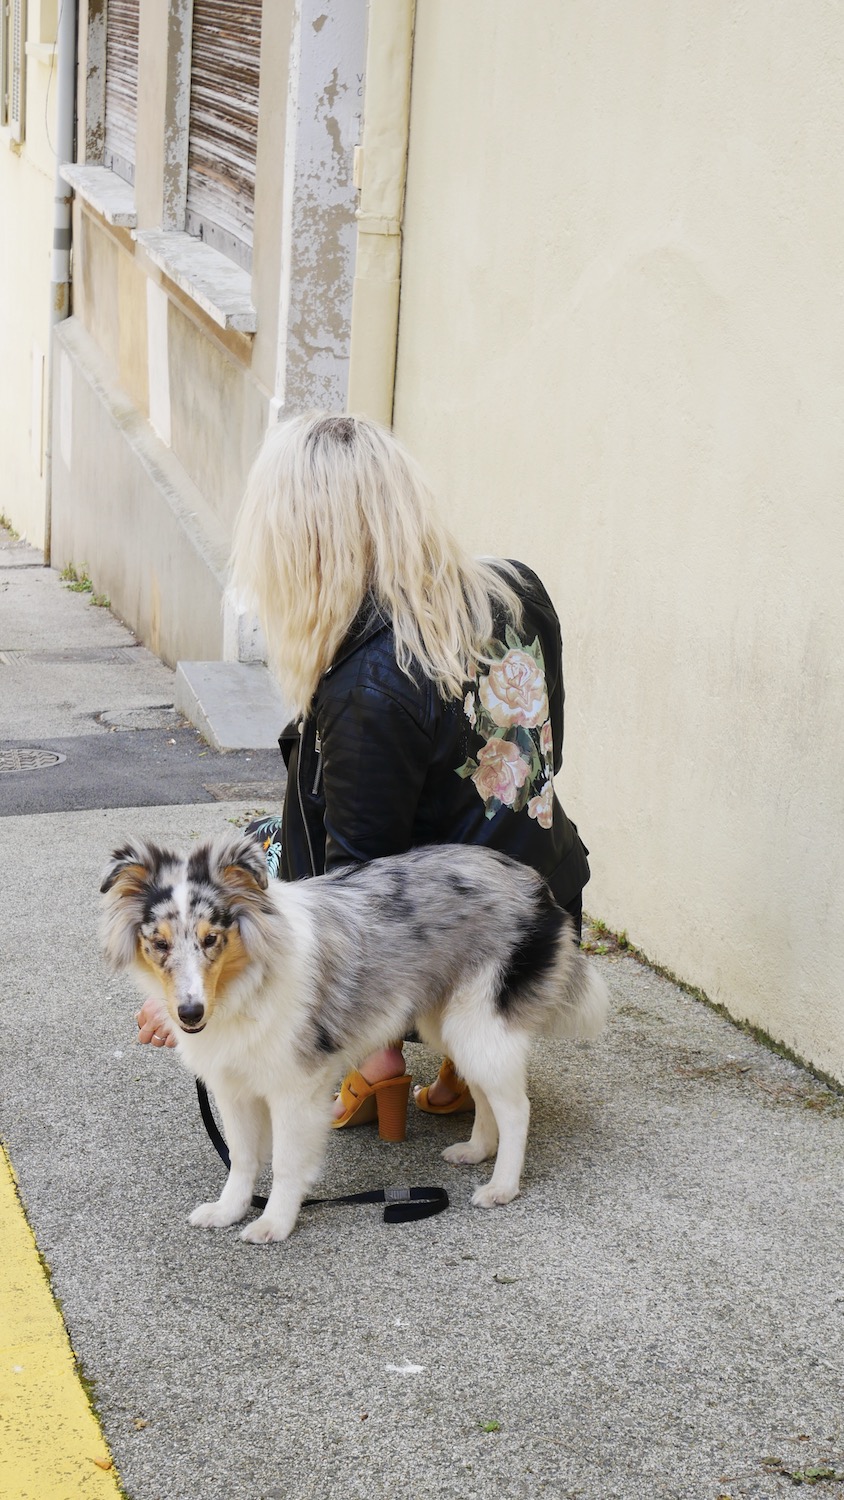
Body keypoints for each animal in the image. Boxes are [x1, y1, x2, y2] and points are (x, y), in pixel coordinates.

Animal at [100, 833, 609, 1243]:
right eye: (160, 943)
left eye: (211, 939)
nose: (189, 1014)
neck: (247, 980)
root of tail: (535, 885)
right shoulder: (234, 1086)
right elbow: (242, 1157)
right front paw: (229, 1210)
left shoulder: (295, 1089)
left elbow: (285, 1162)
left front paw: (274, 1223)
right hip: (453, 1026)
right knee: (486, 1094)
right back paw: (477, 1149)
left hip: (479, 1022)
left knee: (517, 1109)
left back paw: (502, 1187)